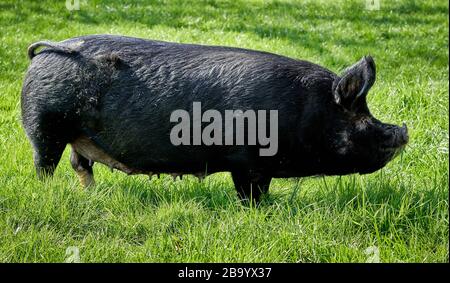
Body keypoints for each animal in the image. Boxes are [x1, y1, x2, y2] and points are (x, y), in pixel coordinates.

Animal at [22, 35, 408, 204]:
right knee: (45, 164)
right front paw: (261, 211)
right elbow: (251, 192)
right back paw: (48, 192)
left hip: (78, 136)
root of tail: (45, 52)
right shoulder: (248, 161)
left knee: (80, 164)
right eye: (359, 118)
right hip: (44, 125)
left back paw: (94, 195)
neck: (307, 109)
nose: (403, 133)